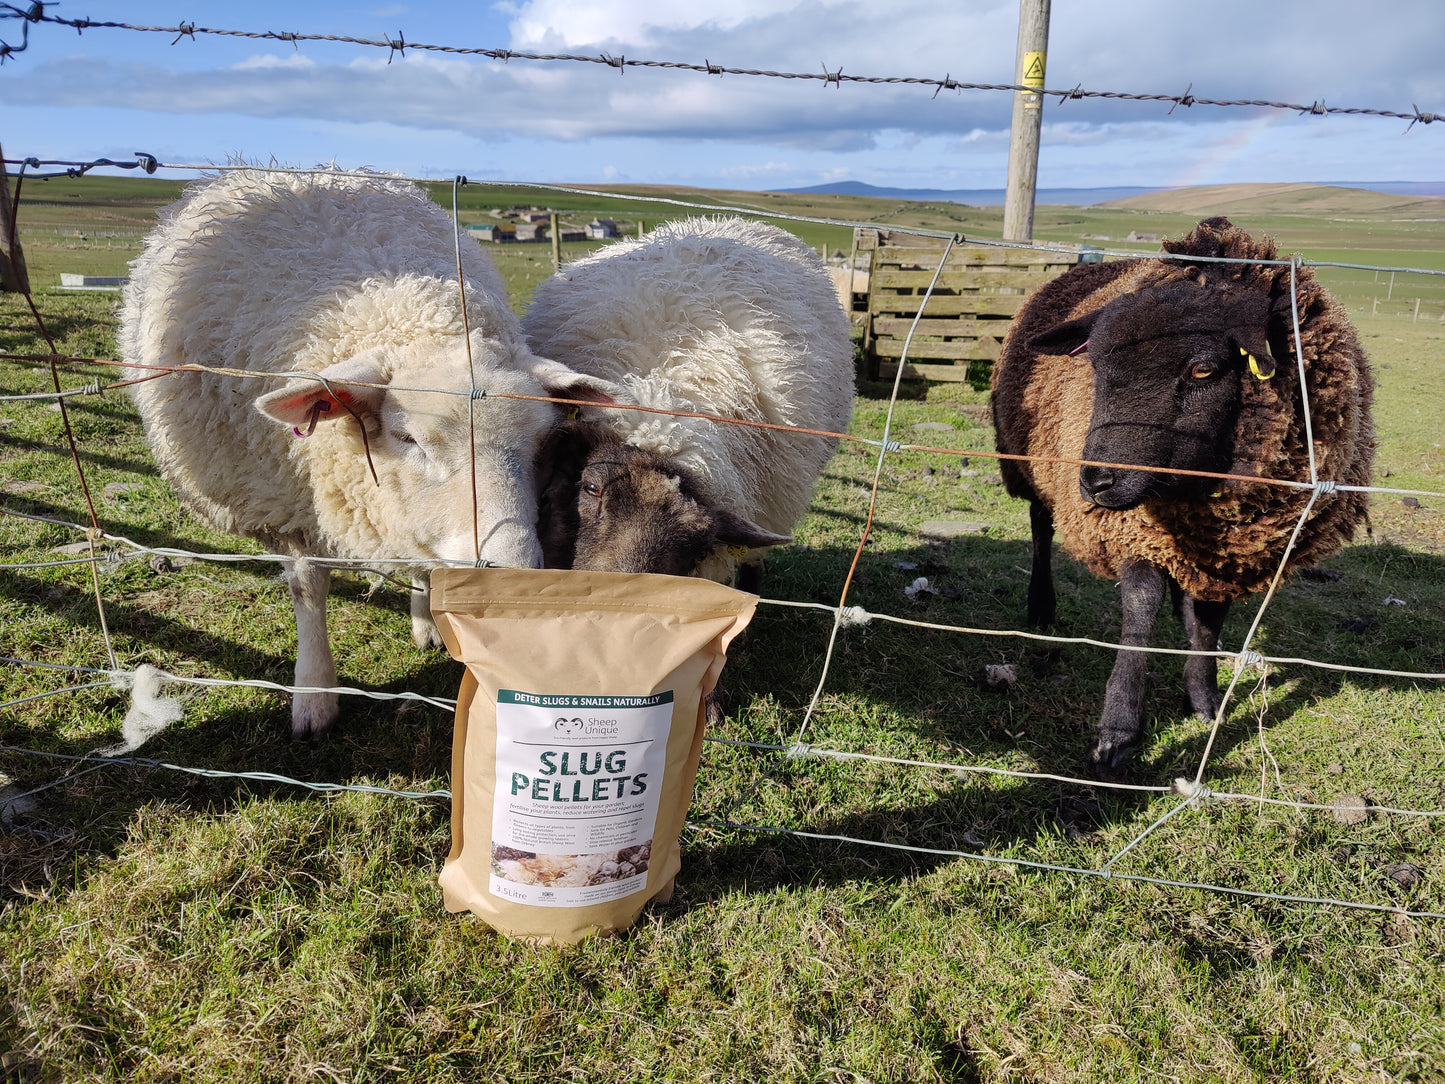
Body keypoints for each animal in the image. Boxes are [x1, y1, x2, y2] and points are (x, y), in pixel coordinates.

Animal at [117, 169, 604, 745]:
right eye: (407, 438)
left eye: (543, 444)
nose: (513, 581)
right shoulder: (291, 505)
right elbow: (308, 590)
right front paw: (314, 694)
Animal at [994, 213, 1375, 774]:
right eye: (1096, 365)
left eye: (1203, 369)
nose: (1096, 481)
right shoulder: (1132, 527)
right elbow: (1140, 607)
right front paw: (1118, 731)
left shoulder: (1238, 547)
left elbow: (1208, 624)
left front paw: (1205, 699)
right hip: (1030, 464)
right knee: (1042, 524)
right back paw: (1041, 606)